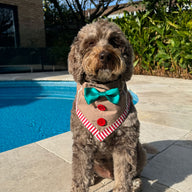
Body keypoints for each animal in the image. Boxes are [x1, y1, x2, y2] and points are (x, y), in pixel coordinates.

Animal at [67, 20, 146, 191]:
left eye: (114, 41)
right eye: (90, 42)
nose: (105, 55)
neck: (103, 92)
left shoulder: (125, 143)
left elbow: (124, 173)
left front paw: (123, 187)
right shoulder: (82, 143)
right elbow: (80, 173)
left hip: (141, 152)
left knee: (133, 172)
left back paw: (135, 183)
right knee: (90, 170)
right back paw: (91, 178)